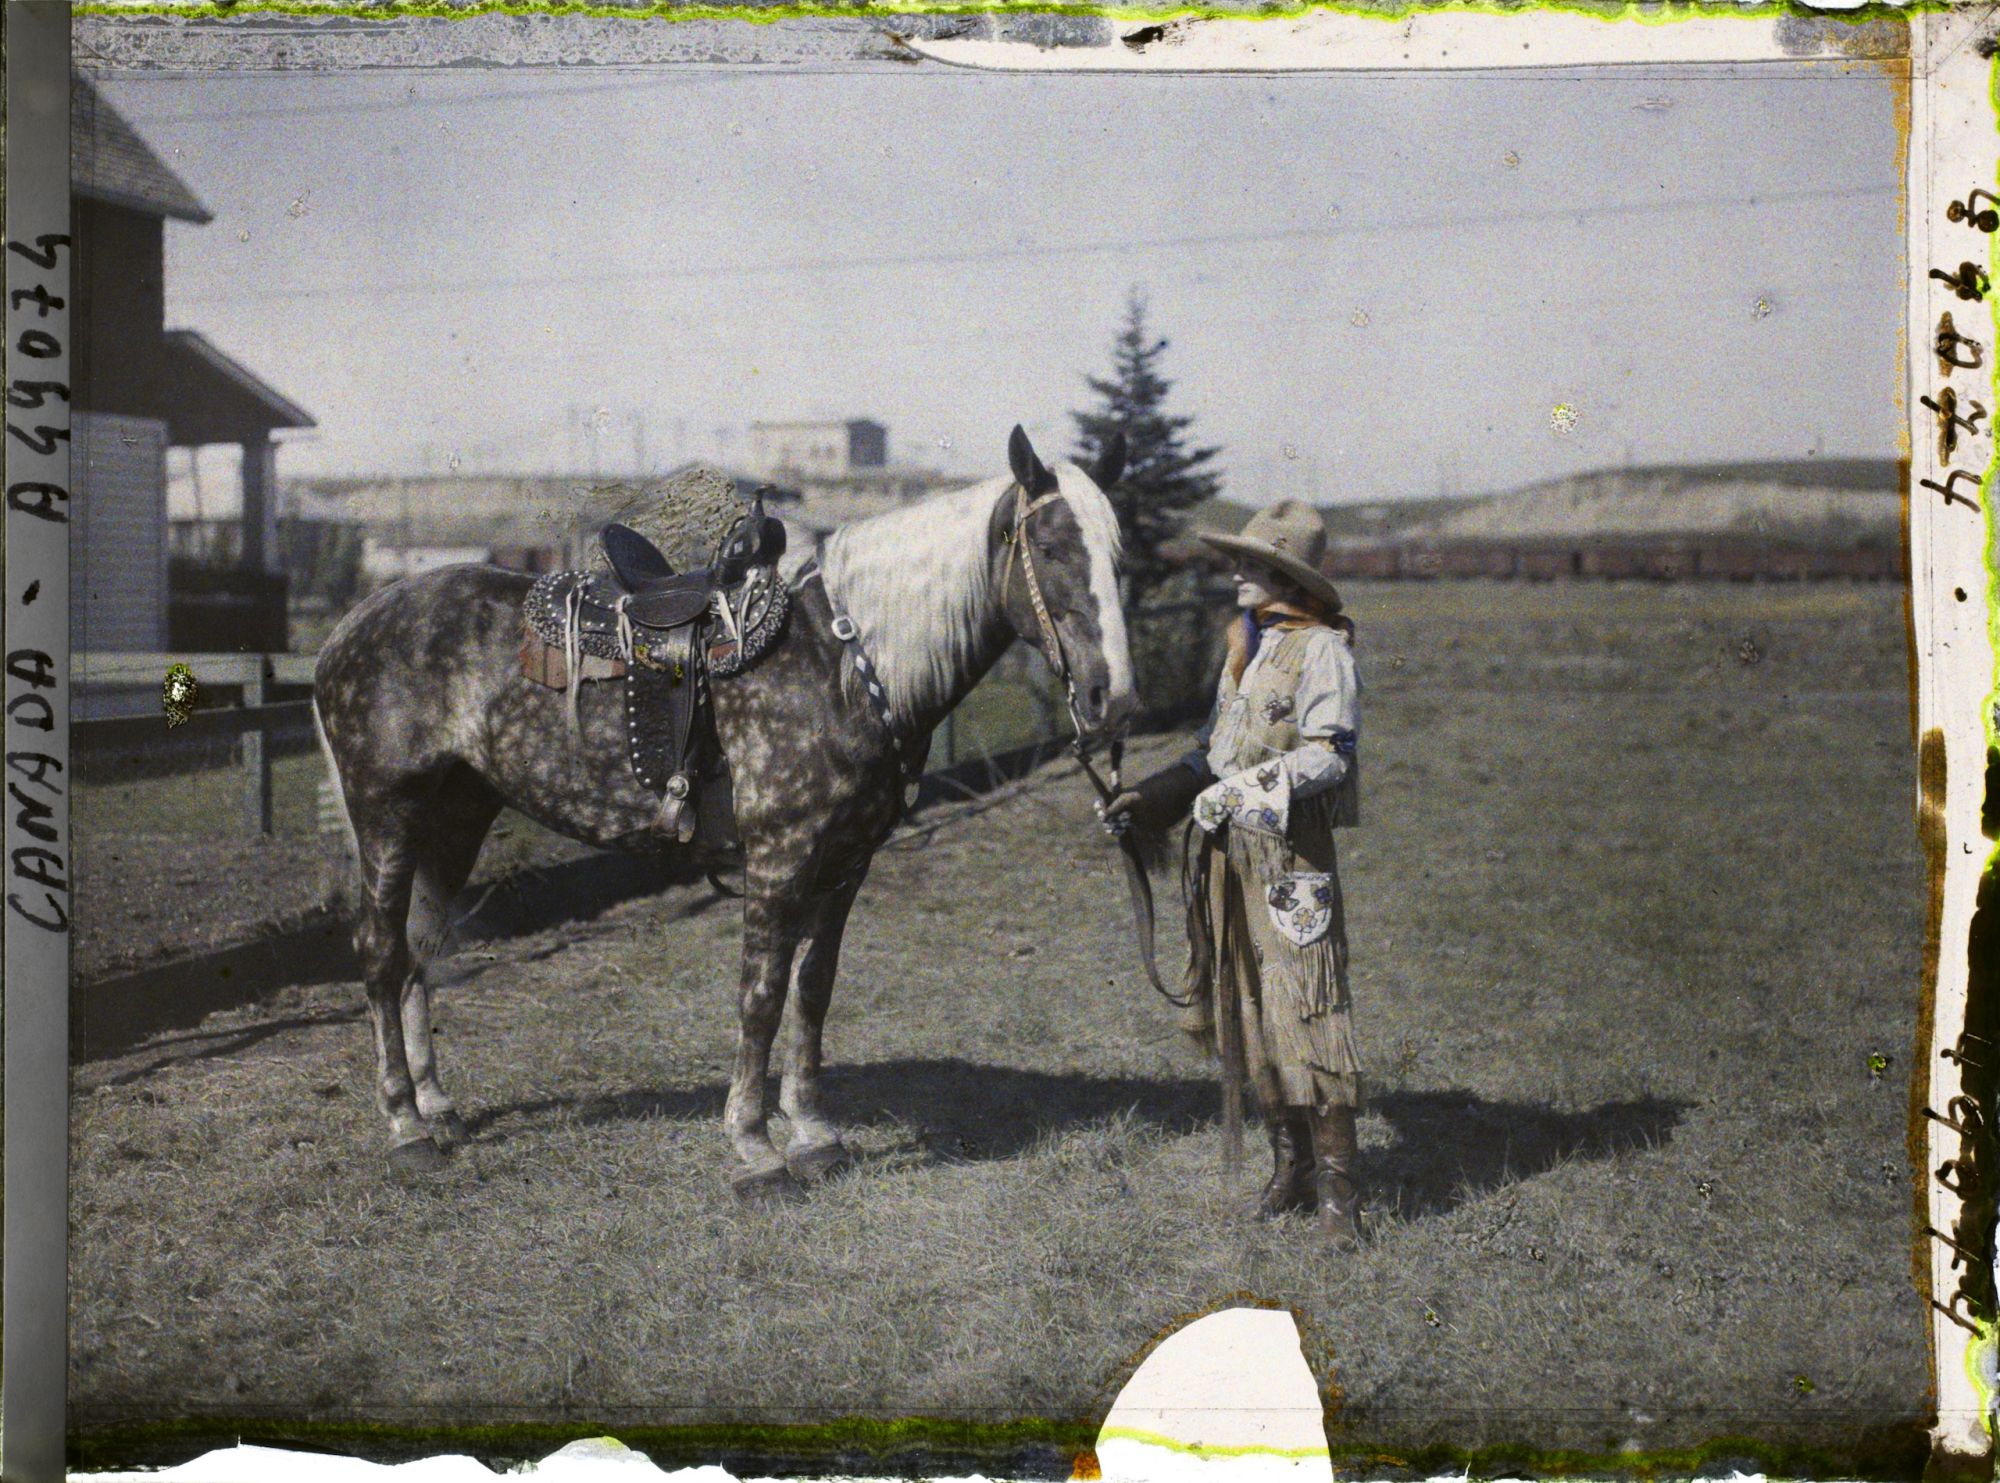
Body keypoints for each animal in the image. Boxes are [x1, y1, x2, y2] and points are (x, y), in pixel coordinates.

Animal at [313, 426, 1136, 1193]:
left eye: (1117, 552)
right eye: (1052, 546)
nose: (1114, 698)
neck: (842, 665)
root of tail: (351, 626)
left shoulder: (844, 868)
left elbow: (813, 992)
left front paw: (814, 1134)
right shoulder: (778, 862)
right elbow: (761, 996)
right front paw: (754, 1146)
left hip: (456, 818)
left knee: (419, 950)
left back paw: (438, 1108)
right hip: (387, 817)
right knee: (381, 954)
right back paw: (404, 1125)